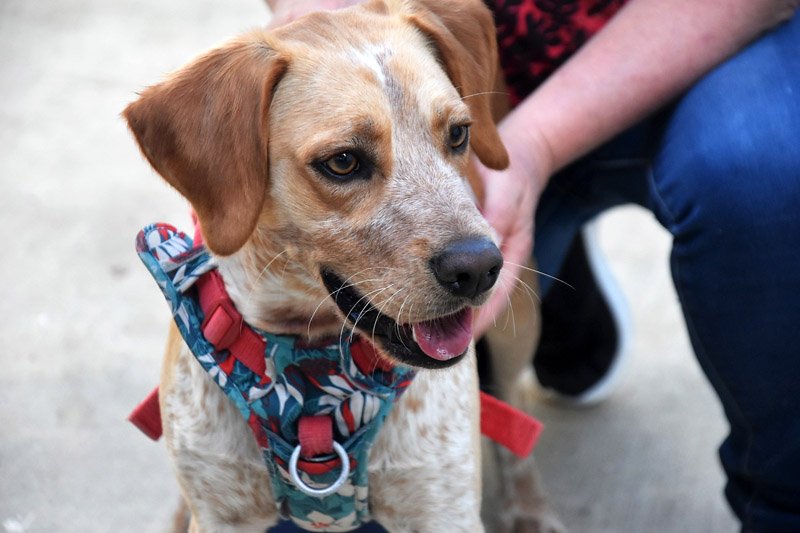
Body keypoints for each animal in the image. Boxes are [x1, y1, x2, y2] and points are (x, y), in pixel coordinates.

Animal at [125, 0, 560, 531]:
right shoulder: (221, 515)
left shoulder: (443, 508)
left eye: (458, 133)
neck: (311, 367)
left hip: (519, 321)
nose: (478, 268)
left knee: (514, 411)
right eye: (344, 161)